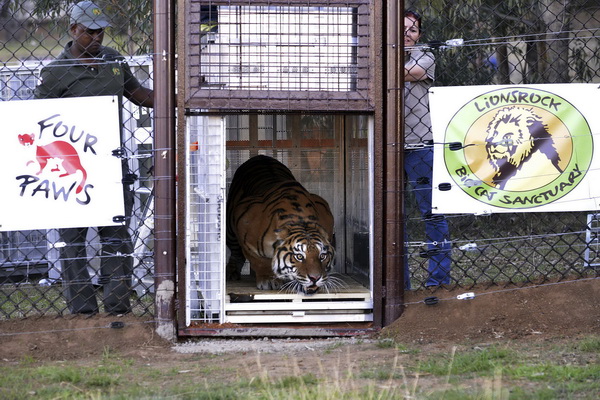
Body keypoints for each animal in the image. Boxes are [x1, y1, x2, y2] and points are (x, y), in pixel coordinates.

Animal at [226, 155, 338, 296]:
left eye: (322, 256)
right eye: (299, 256)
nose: (315, 278)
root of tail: (260, 156)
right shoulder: (245, 233)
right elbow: (259, 261)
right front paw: (268, 279)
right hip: (230, 231)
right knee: (236, 253)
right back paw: (231, 273)